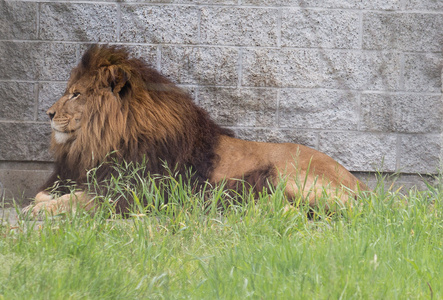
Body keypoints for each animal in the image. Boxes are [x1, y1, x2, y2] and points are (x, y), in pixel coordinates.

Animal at [26, 44, 370, 216]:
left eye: (75, 94)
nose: (48, 113)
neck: (99, 142)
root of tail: (360, 183)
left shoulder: (139, 192)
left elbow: (78, 200)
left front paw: (38, 211)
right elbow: (52, 192)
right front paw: (41, 201)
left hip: (293, 177)